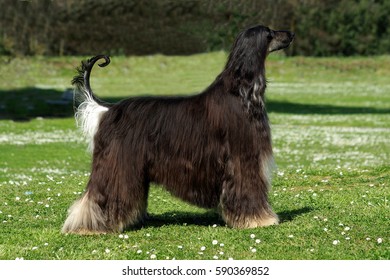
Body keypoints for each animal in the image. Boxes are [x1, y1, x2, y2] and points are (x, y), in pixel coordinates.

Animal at [62, 25, 294, 234]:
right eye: (270, 33)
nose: (291, 34)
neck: (240, 91)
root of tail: (109, 109)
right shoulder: (242, 159)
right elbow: (248, 188)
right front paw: (258, 219)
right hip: (116, 164)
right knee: (97, 195)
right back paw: (88, 227)